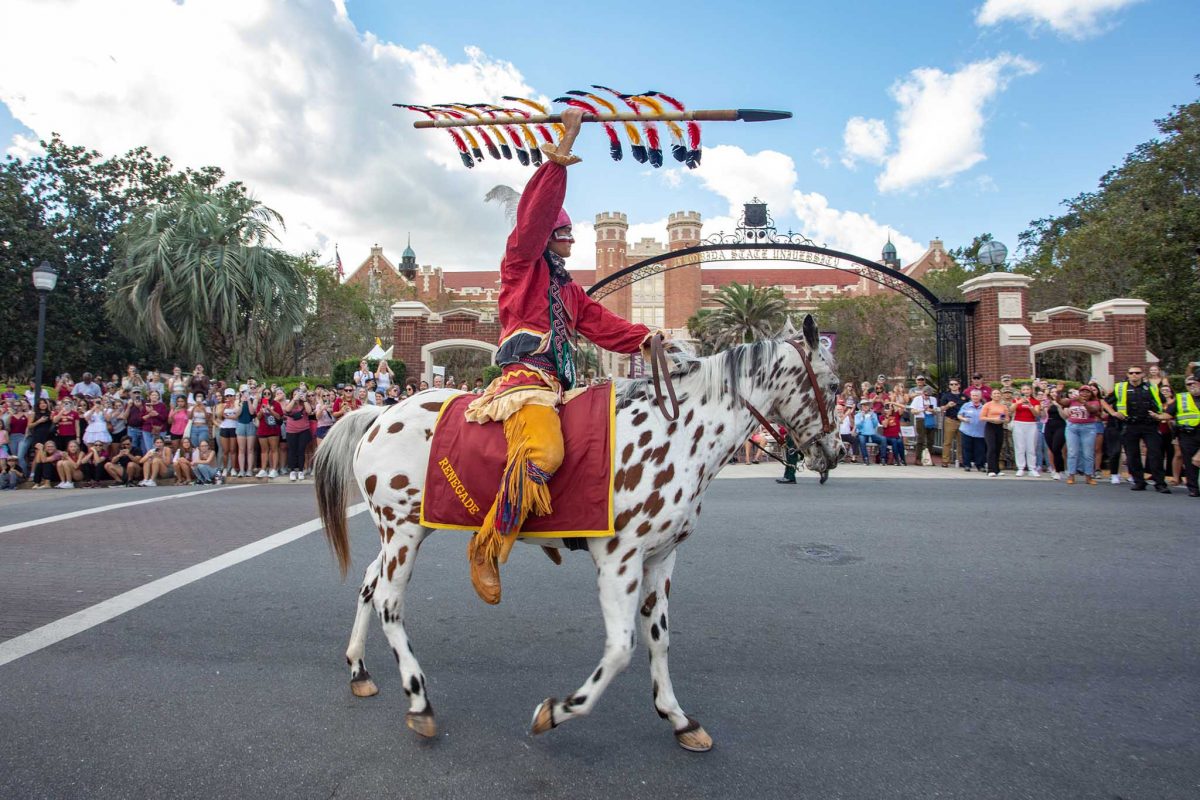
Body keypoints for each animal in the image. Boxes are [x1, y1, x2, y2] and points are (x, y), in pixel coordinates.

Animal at [319, 314, 844, 753]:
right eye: (836, 384)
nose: (836, 452)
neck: (677, 432)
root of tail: (379, 415)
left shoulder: (661, 558)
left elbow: (658, 638)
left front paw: (678, 718)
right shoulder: (619, 559)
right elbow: (620, 649)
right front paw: (557, 711)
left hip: (404, 532)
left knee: (369, 585)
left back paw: (359, 669)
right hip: (402, 532)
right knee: (389, 602)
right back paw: (419, 700)